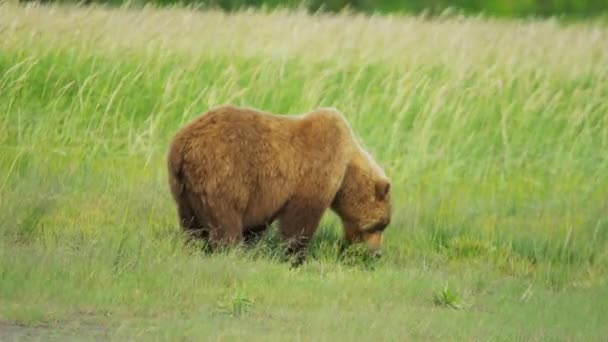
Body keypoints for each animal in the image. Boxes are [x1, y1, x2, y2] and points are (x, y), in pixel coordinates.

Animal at [169, 104, 392, 264]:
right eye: (378, 225)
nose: (377, 253)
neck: (346, 170)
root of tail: (183, 144)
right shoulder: (314, 172)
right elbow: (300, 219)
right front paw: (295, 256)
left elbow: (257, 222)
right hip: (222, 172)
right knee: (225, 219)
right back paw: (230, 250)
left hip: (184, 188)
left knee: (190, 223)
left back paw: (195, 248)